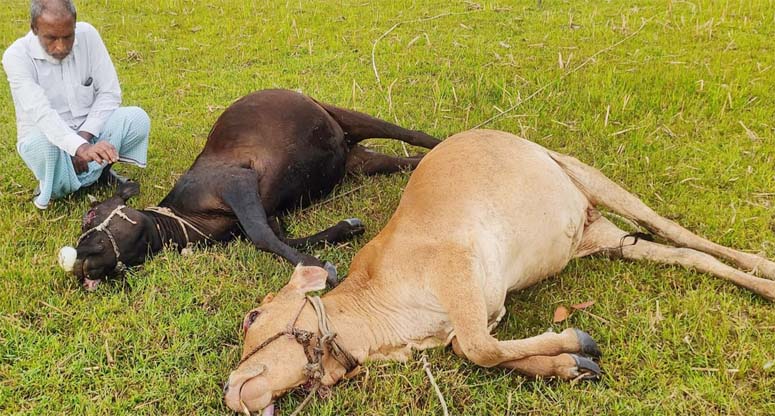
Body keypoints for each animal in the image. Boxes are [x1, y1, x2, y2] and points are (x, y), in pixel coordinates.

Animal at [221, 129, 772, 412]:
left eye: (252, 318)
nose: (231, 391)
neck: (381, 316)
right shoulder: (465, 322)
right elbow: (477, 349)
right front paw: (568, 365)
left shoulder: (457, 266)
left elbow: (481, 348)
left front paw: (576, 340)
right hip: (605, 239)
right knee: (684, 255)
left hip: (585, 174)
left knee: (677, 231)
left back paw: (763, 271)